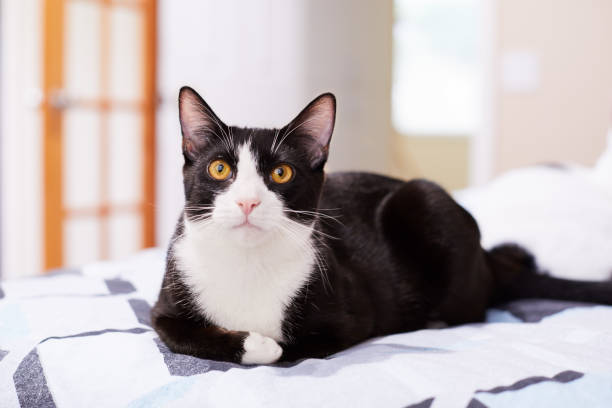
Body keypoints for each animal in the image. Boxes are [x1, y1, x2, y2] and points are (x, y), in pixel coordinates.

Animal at [151, 87, 612, 364]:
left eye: (281, 173)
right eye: (219, 168)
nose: (247, 201)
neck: (247, 263)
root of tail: (489, 261)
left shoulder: (353, 315)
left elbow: (299, 346)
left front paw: (267, 343)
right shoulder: (163, 306)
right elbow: (178, 333)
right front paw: (256, 342)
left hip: (423, 199)